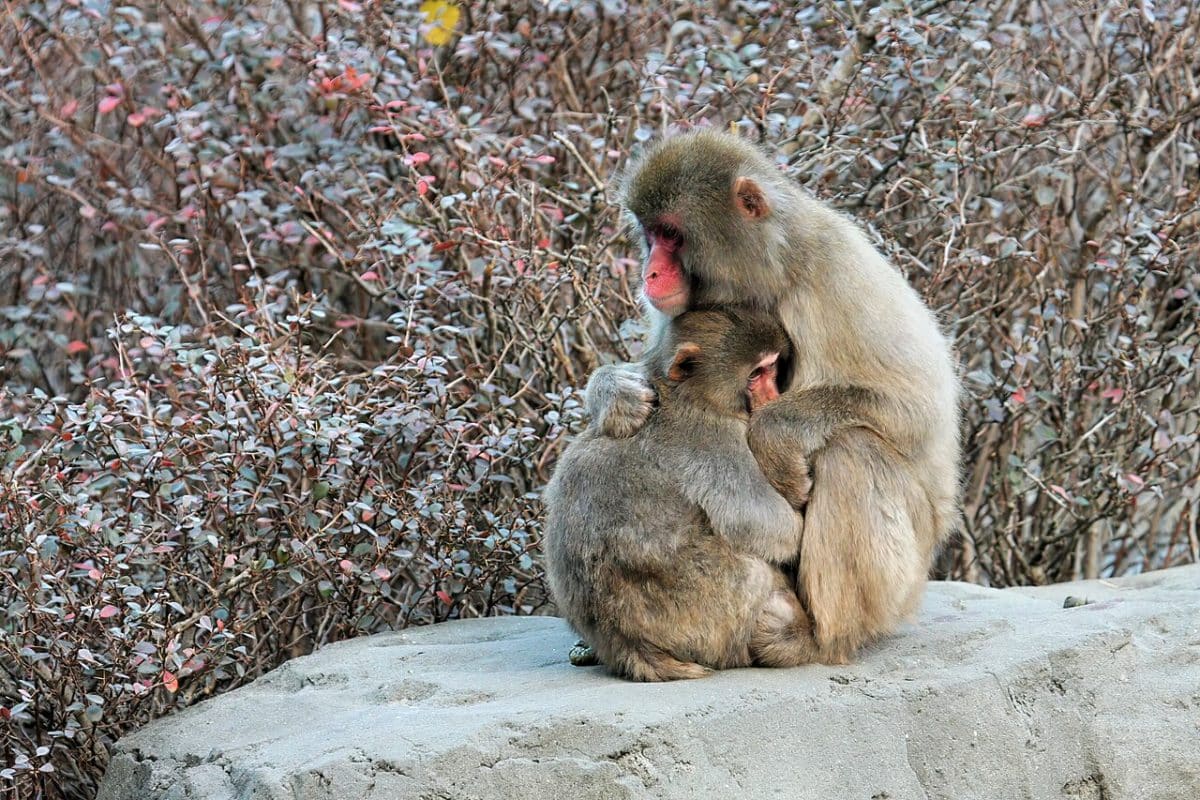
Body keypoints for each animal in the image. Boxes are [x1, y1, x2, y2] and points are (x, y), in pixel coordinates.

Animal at [542, 309, 816, 681]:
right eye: (757, 372)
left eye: (772, 367)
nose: (773, 395)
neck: (684, 392)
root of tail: (626, 643)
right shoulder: (716, 438)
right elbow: (763, 525)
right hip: (710, 611)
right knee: (753, 573)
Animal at [585, 131, 960, 666]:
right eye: (650, 234)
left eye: (672, 234)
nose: (650, 273)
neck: (770, 271)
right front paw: (613, 392)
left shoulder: (837, 270)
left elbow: (918, 405)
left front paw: (774, 439)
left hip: (907, 578)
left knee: (852, 451)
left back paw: (817, 639)